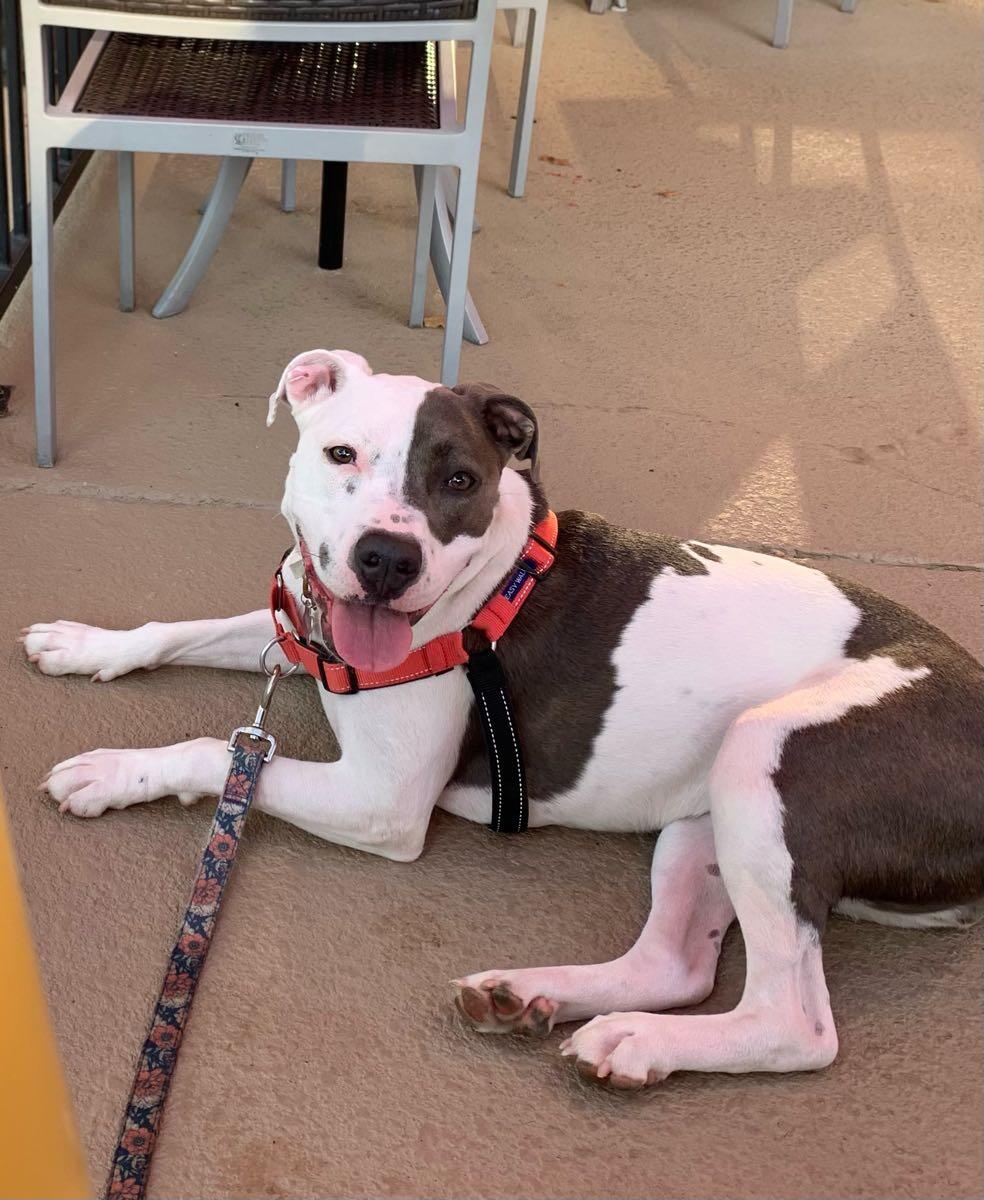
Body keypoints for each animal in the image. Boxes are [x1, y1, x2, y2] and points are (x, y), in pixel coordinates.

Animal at [22, 349, 984, 1088]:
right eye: (340, 452)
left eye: (461, 479)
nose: (387, 557)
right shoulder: (297, 633)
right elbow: (182, 630)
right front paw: (87, 644)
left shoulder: (382, 802)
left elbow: (216, 752)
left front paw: (111, 771)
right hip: (708, 810)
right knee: (674, 964)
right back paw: (533, 999)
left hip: (768, 758)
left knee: (795, 1024)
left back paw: (642, 1041)